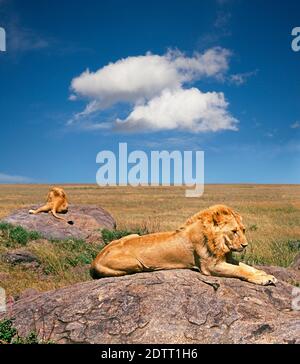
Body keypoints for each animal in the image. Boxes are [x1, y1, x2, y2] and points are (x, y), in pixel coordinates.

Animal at [90, 203, 278, 286]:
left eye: (244, 230)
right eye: (234, 231)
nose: (245, 245)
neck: (220, 242)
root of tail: (95, 260)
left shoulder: (225, 258)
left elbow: (246, 266)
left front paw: (264, 273)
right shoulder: (210, 267)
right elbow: (239, 270)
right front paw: (263, 279)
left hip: (133, 235)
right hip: (136, 263)